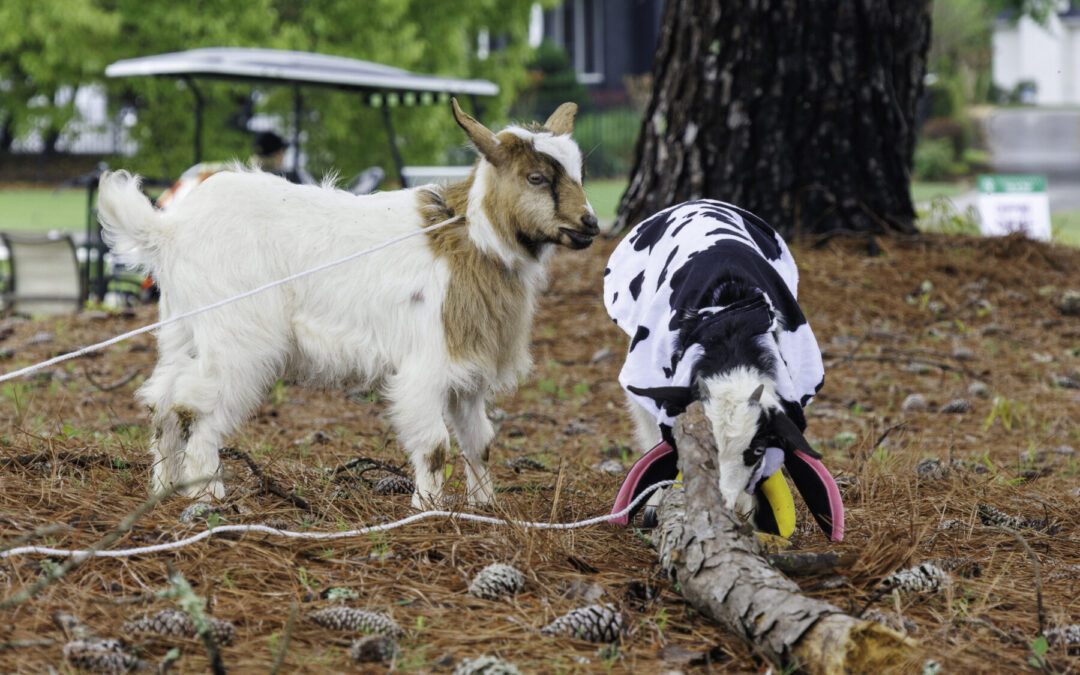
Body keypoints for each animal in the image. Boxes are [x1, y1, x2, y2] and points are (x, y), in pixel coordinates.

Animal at [95, 99, 599, 508]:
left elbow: (480, 442)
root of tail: (168, 230)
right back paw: (208, 494)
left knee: (162, 398)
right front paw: (429, 510)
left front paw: (486, 507)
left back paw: (163, 487)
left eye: (580, 173)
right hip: (237, 337)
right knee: (192, 404)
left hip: (181, 328)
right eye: (536, 177)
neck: (471, 237)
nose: (589, 224)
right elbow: (435, 445)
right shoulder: (426, 364)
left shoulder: (469, 371)